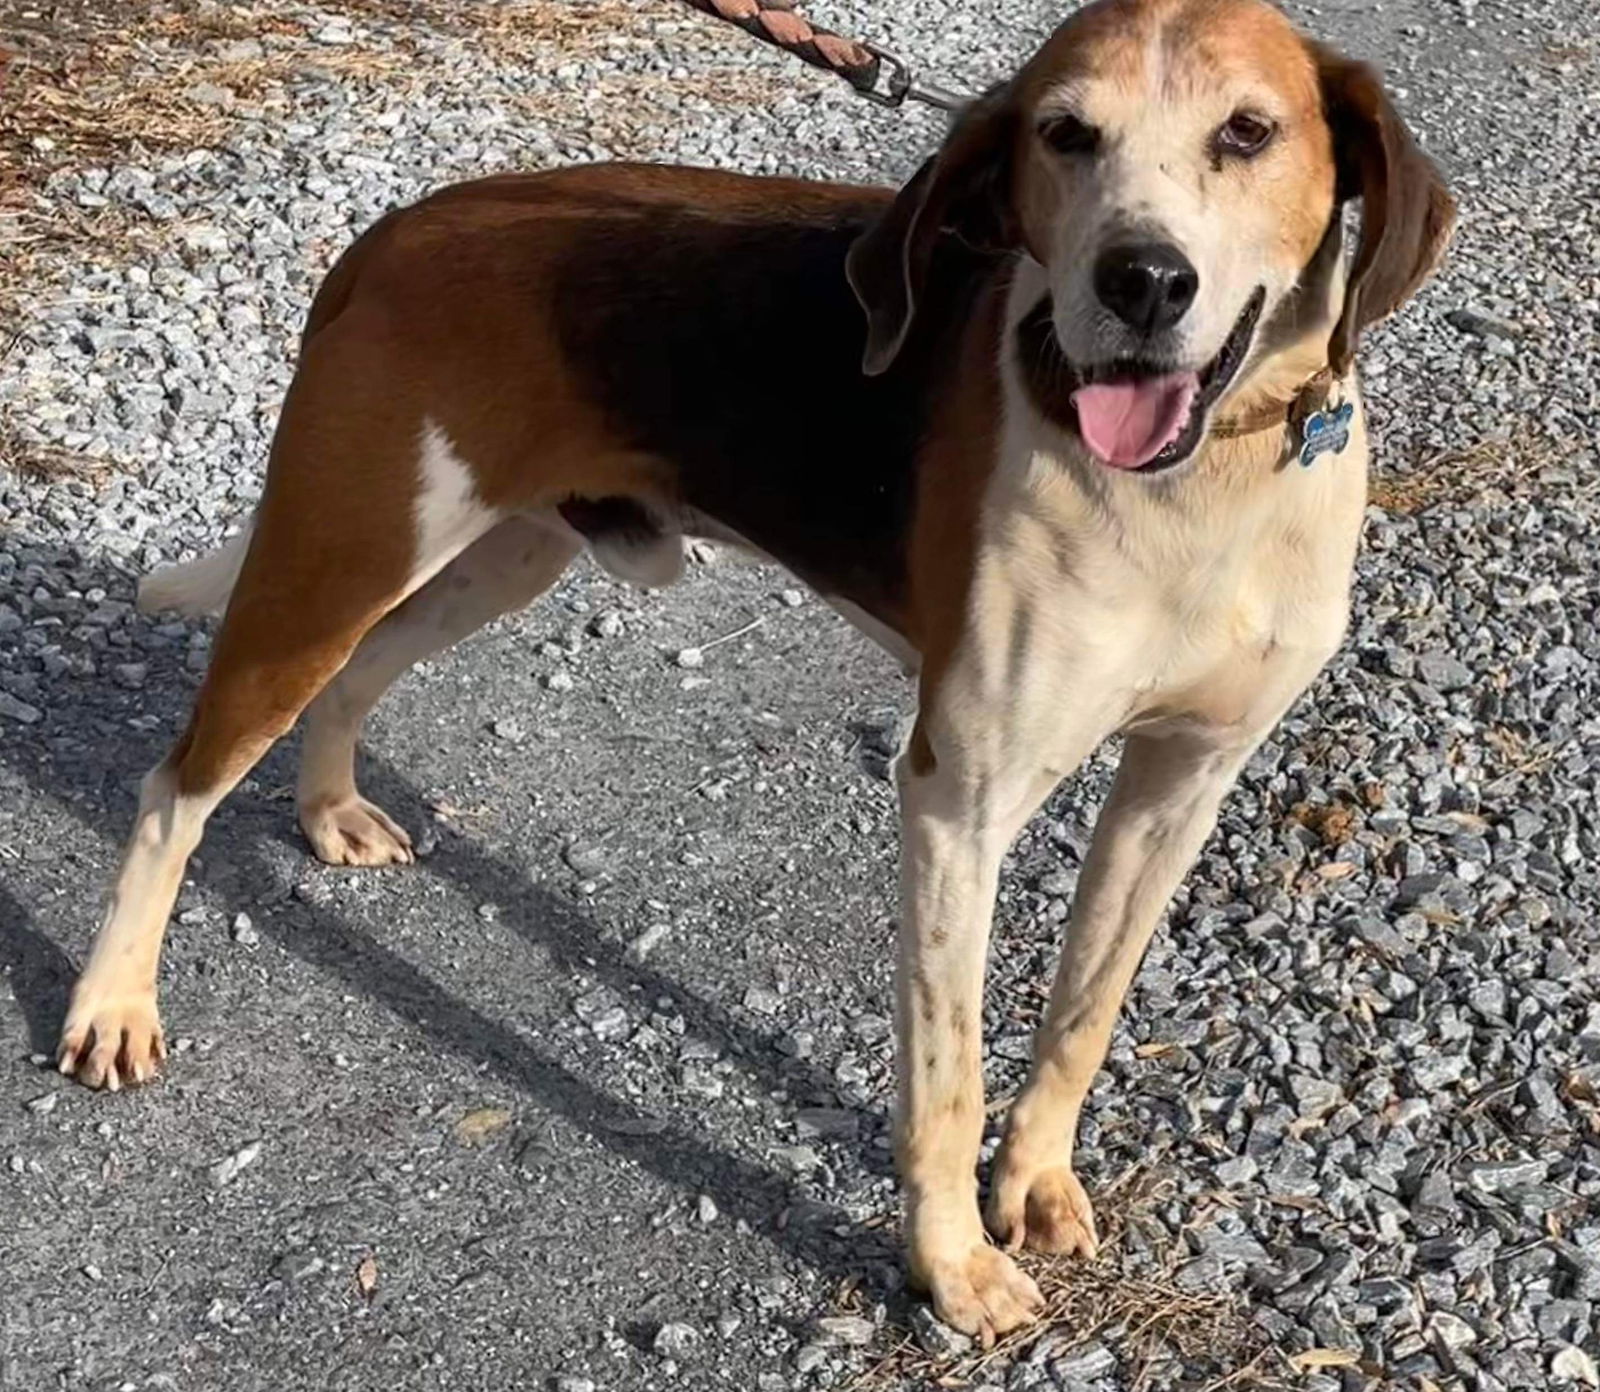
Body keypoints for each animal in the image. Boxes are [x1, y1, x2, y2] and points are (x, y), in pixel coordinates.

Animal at [59, 0, 1452, 1350]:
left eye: (1249, 132)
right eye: (1064, 133)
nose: (1143, 281)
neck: (1200, 481)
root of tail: (394, 232)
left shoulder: (1181, 781)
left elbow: (1082, 1016)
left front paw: (1034, 1186)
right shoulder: (958, 802)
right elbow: (943, 1084)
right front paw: (952, 1269)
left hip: (493, 558)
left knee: (355, 681)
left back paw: (330, 811)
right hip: (334, 563)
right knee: (174, 787)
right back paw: (114, 1002)